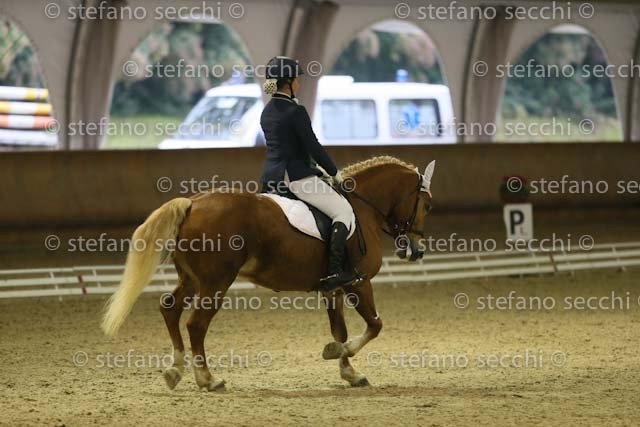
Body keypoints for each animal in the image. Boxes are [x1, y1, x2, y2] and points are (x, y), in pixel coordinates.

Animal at [101, 156, 436, 391]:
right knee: (196, 324)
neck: (362, 209)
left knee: (169, 308)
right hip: (215, 282)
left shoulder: (334, 288)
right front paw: (339, 353)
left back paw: (175, 370)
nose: (415, 250)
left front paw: (349, 372)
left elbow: (339, 329)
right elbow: (374, 325)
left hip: (191, 279)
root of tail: (193, 203)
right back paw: (208, 380)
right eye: (427, 205)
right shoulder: (359, 282)